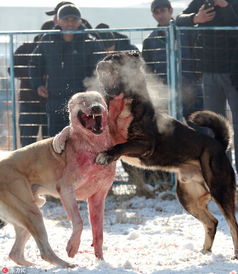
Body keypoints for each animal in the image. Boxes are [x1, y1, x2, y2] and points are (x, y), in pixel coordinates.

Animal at [0, 91, 115, 266]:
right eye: (83, 101)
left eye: (98, 100)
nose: (96, 107)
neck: (93, 147)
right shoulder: (66, 190)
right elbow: (79, 221)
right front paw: (73, 246)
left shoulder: (98, 197)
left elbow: (98, 233)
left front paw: (100, 261)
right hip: (32, 213)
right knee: (45, 252)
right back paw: (66, 264)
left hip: (29, 211)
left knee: (15, 253)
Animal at [95, 51, 238, 260]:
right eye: (107, 57)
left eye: (116, 59)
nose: (99, 64)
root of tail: (219, 145)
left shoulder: (144, 143)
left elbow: (120, 145)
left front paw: (106, 155)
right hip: (188, 198)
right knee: (212, 222)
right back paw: (204, 252)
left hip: (220, 191)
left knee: (232, 224)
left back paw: (234, 254)